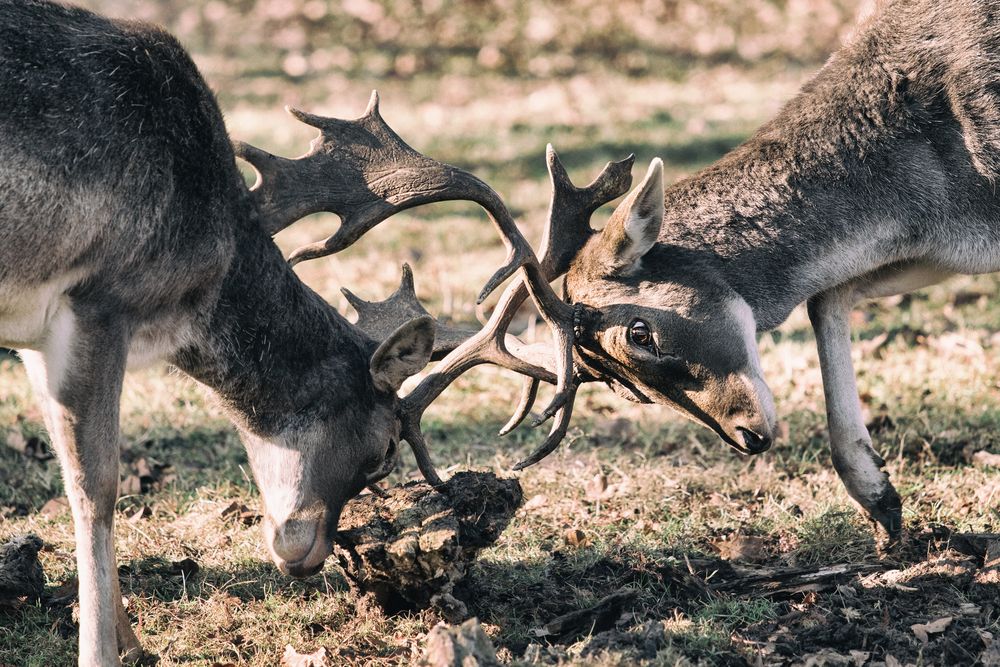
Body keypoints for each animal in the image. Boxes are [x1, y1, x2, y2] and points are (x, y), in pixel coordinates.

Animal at [0, 0, 588, 664]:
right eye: (384, 452)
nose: (306, 555)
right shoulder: (100, 297)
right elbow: (94, 486)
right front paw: (101, 649)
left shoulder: (34, 334)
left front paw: (133, 642)